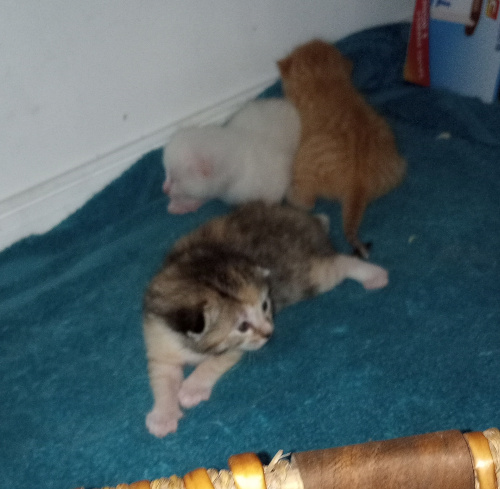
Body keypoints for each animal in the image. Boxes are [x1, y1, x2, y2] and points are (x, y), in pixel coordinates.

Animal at [143, 200, 388, 436]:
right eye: (242, 326)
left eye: (265, 306)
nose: (269, 333)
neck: (191, 347)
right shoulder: (159, 337)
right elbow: (162, 379)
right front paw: (163, 416)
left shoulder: (237, 348)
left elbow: (214, 362)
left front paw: (192, 388)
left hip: (304, 277)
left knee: (338, 263)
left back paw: (374, 275)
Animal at [278, 40, 406, 260]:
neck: (324, 80)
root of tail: (359, 183)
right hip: (400, 165)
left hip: (303, 167)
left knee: (307, 202)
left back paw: (289, 194)